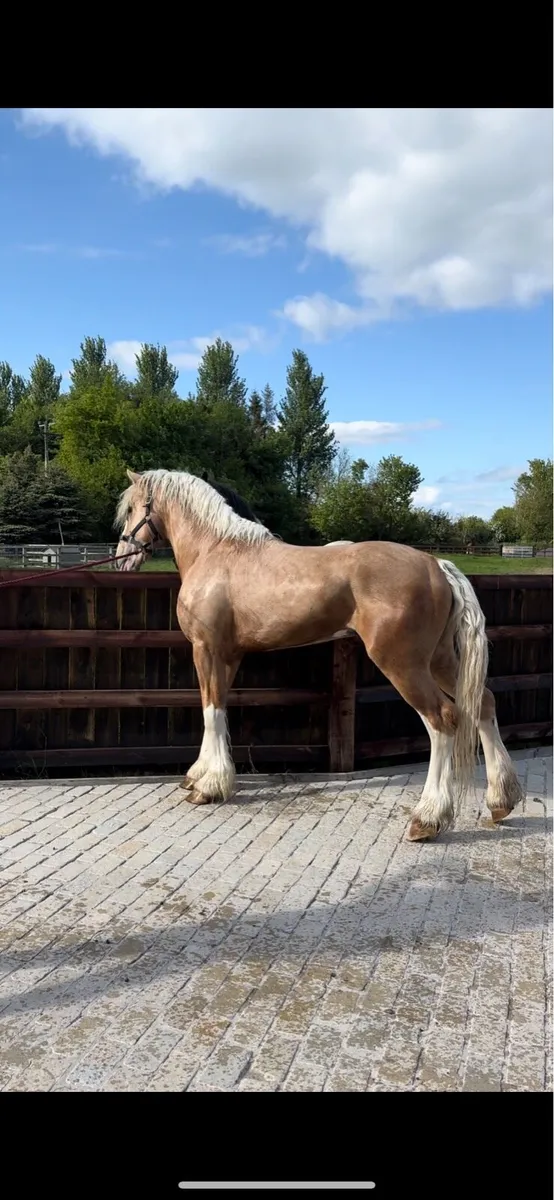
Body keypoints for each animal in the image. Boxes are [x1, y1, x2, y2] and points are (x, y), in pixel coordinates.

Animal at [115, 468, 523, 841]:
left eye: (133, 508)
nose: (122, 558)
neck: (217, 551)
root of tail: (436, 565)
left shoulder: (207, 649)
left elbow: (210, 710)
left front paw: (208, 786)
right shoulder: (228, 655)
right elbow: (217, 708)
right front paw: (202, 775)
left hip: (404, 665)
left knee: (442, 720)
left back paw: (427, 819)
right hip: (439, 661)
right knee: (484, 704)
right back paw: (501, 801)